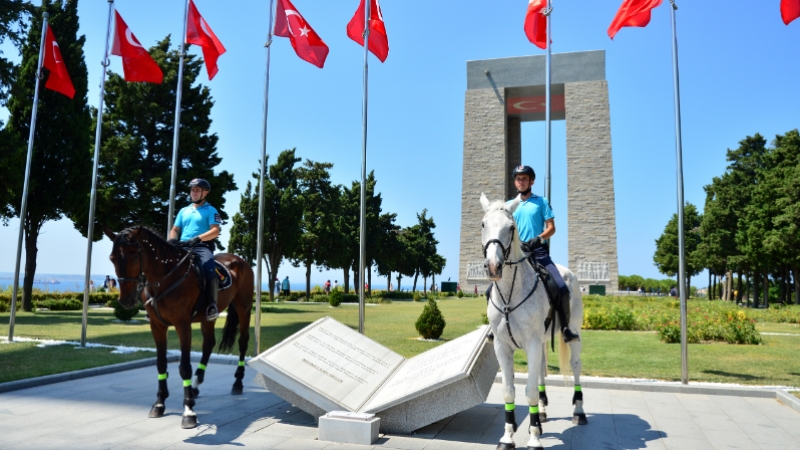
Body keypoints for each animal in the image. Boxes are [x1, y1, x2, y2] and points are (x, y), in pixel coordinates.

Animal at [104, 225, 253, 428]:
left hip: (243, 308)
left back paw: (237, 382)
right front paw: (159, 403)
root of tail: (239, 259)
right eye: (112, 258)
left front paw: (189, 411)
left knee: (243, 342)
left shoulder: (183, 325)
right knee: (208, 344)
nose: (126, 301)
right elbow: (161, 363)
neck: (164, 279)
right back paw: (196, 385)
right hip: (208, 318)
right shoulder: (157, 325)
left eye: (134, 257)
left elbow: (184, 367)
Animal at [478, 192, 584, 450]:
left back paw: (579, 412)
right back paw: (543, 412)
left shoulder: (532, 343)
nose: (493, 266)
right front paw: (508, 436)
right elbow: (509, 390)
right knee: (542, 370)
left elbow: (530, 391)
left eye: (511, 227)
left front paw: (534, 437)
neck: (509, 293)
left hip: (573, 331)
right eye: (484, 224)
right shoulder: (502, 346)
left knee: (575, 365)